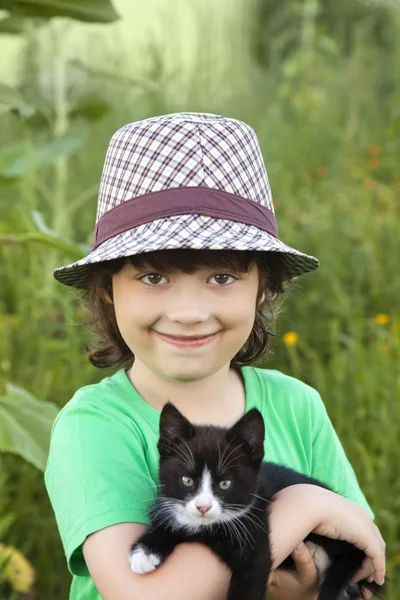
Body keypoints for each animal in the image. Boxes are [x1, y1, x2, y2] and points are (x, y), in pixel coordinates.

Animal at [130, 404, 386, 600]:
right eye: (187, 480)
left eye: (225, 484)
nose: (203, 507)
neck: (209, 528)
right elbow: (171, 523)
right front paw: (144, 552)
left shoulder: (255, 533)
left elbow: (251, 577)